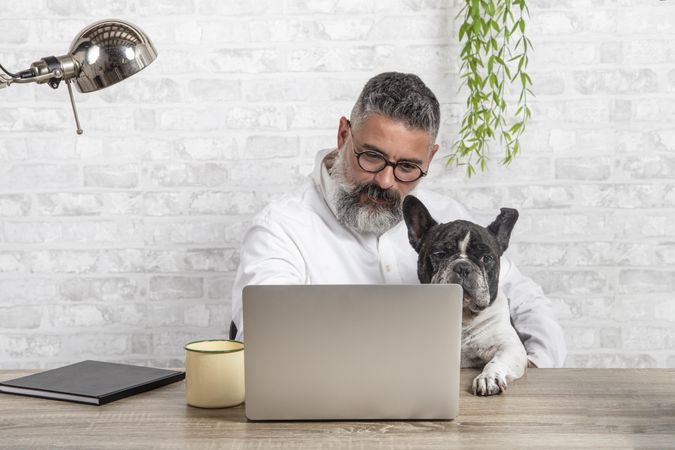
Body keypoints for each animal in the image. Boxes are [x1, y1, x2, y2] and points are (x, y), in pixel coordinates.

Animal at [402, 195, 528, 396]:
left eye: (486, 258)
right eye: (439, 254)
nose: (463, 267)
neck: (462, 315)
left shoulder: (509, 345)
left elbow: (497, 361)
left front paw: (489, 378)